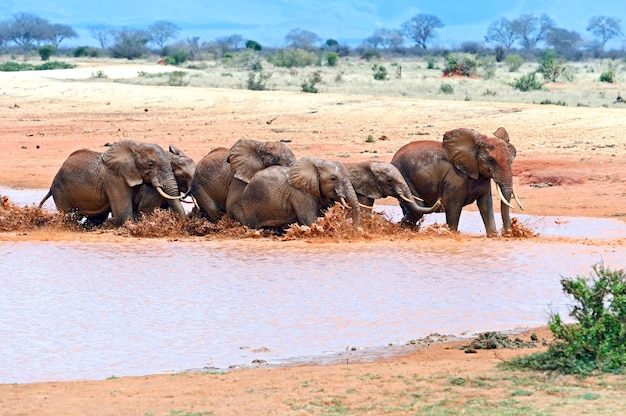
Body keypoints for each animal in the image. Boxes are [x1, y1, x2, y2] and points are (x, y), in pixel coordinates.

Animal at [38, 140, 185, 226]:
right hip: (61, 191)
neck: (135, 146)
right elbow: (123, 215)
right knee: (68, 218)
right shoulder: (115, 180)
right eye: (151, 164)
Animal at [390, 127, 520, 237]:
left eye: (511, 160)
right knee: (416, 210)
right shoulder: (455, 180)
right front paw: (451, 234)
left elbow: (485, 205)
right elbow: (453, 207)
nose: (508, 233)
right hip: (403, 177)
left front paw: (493, 236)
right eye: (491, 161)